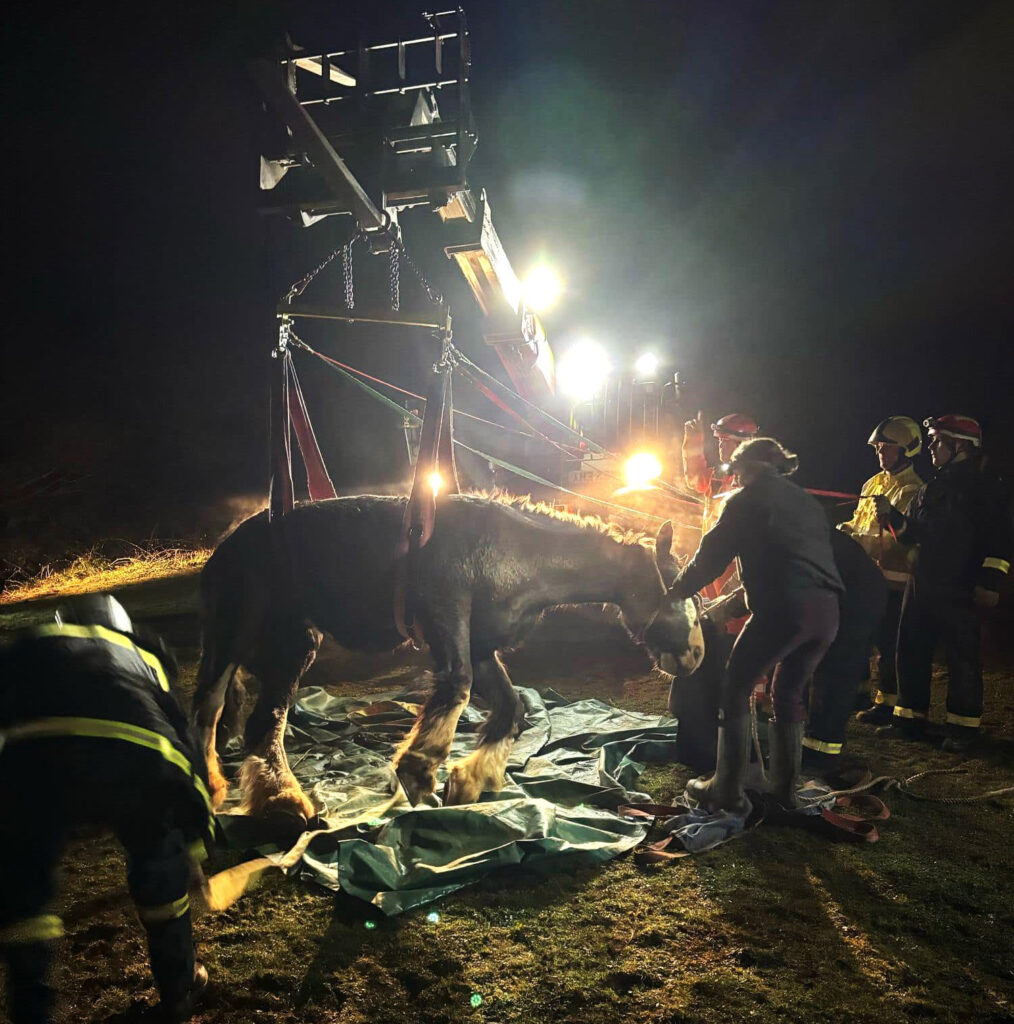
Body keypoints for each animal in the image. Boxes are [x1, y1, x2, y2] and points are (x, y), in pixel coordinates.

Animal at [192, 491, 704, 819]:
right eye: (682, 586)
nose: (696, 656)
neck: (519, 553)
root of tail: (226, 548)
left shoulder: (481, 646)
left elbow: (510, 707)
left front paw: (469, 779)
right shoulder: (445, 614)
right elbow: (456, 688)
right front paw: (419, 772)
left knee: (221, 711)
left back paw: (216, 787)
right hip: (263, 640)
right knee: (240, 714)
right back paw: (280, 801)